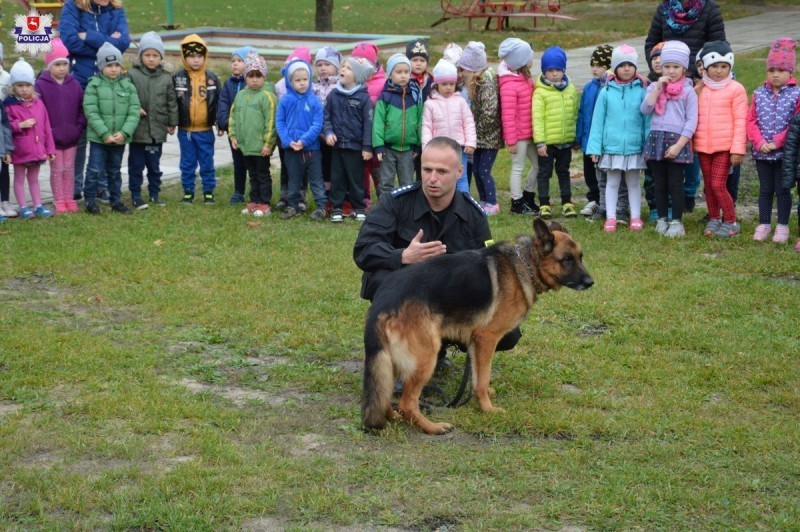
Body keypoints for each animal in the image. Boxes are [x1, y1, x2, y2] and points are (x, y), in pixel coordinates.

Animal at [362, 218, 592, 434]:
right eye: (567, 259)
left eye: (581, 257)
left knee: (384, 395)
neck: (524, 264)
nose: (591, 282)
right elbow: (483, 377)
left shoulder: (475, 342)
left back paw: (393, 416)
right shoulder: (486, 338)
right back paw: (432, 427)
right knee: (407, 403)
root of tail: (382, 301)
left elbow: (477, 376)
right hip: (426, 356)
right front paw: (487, 409)